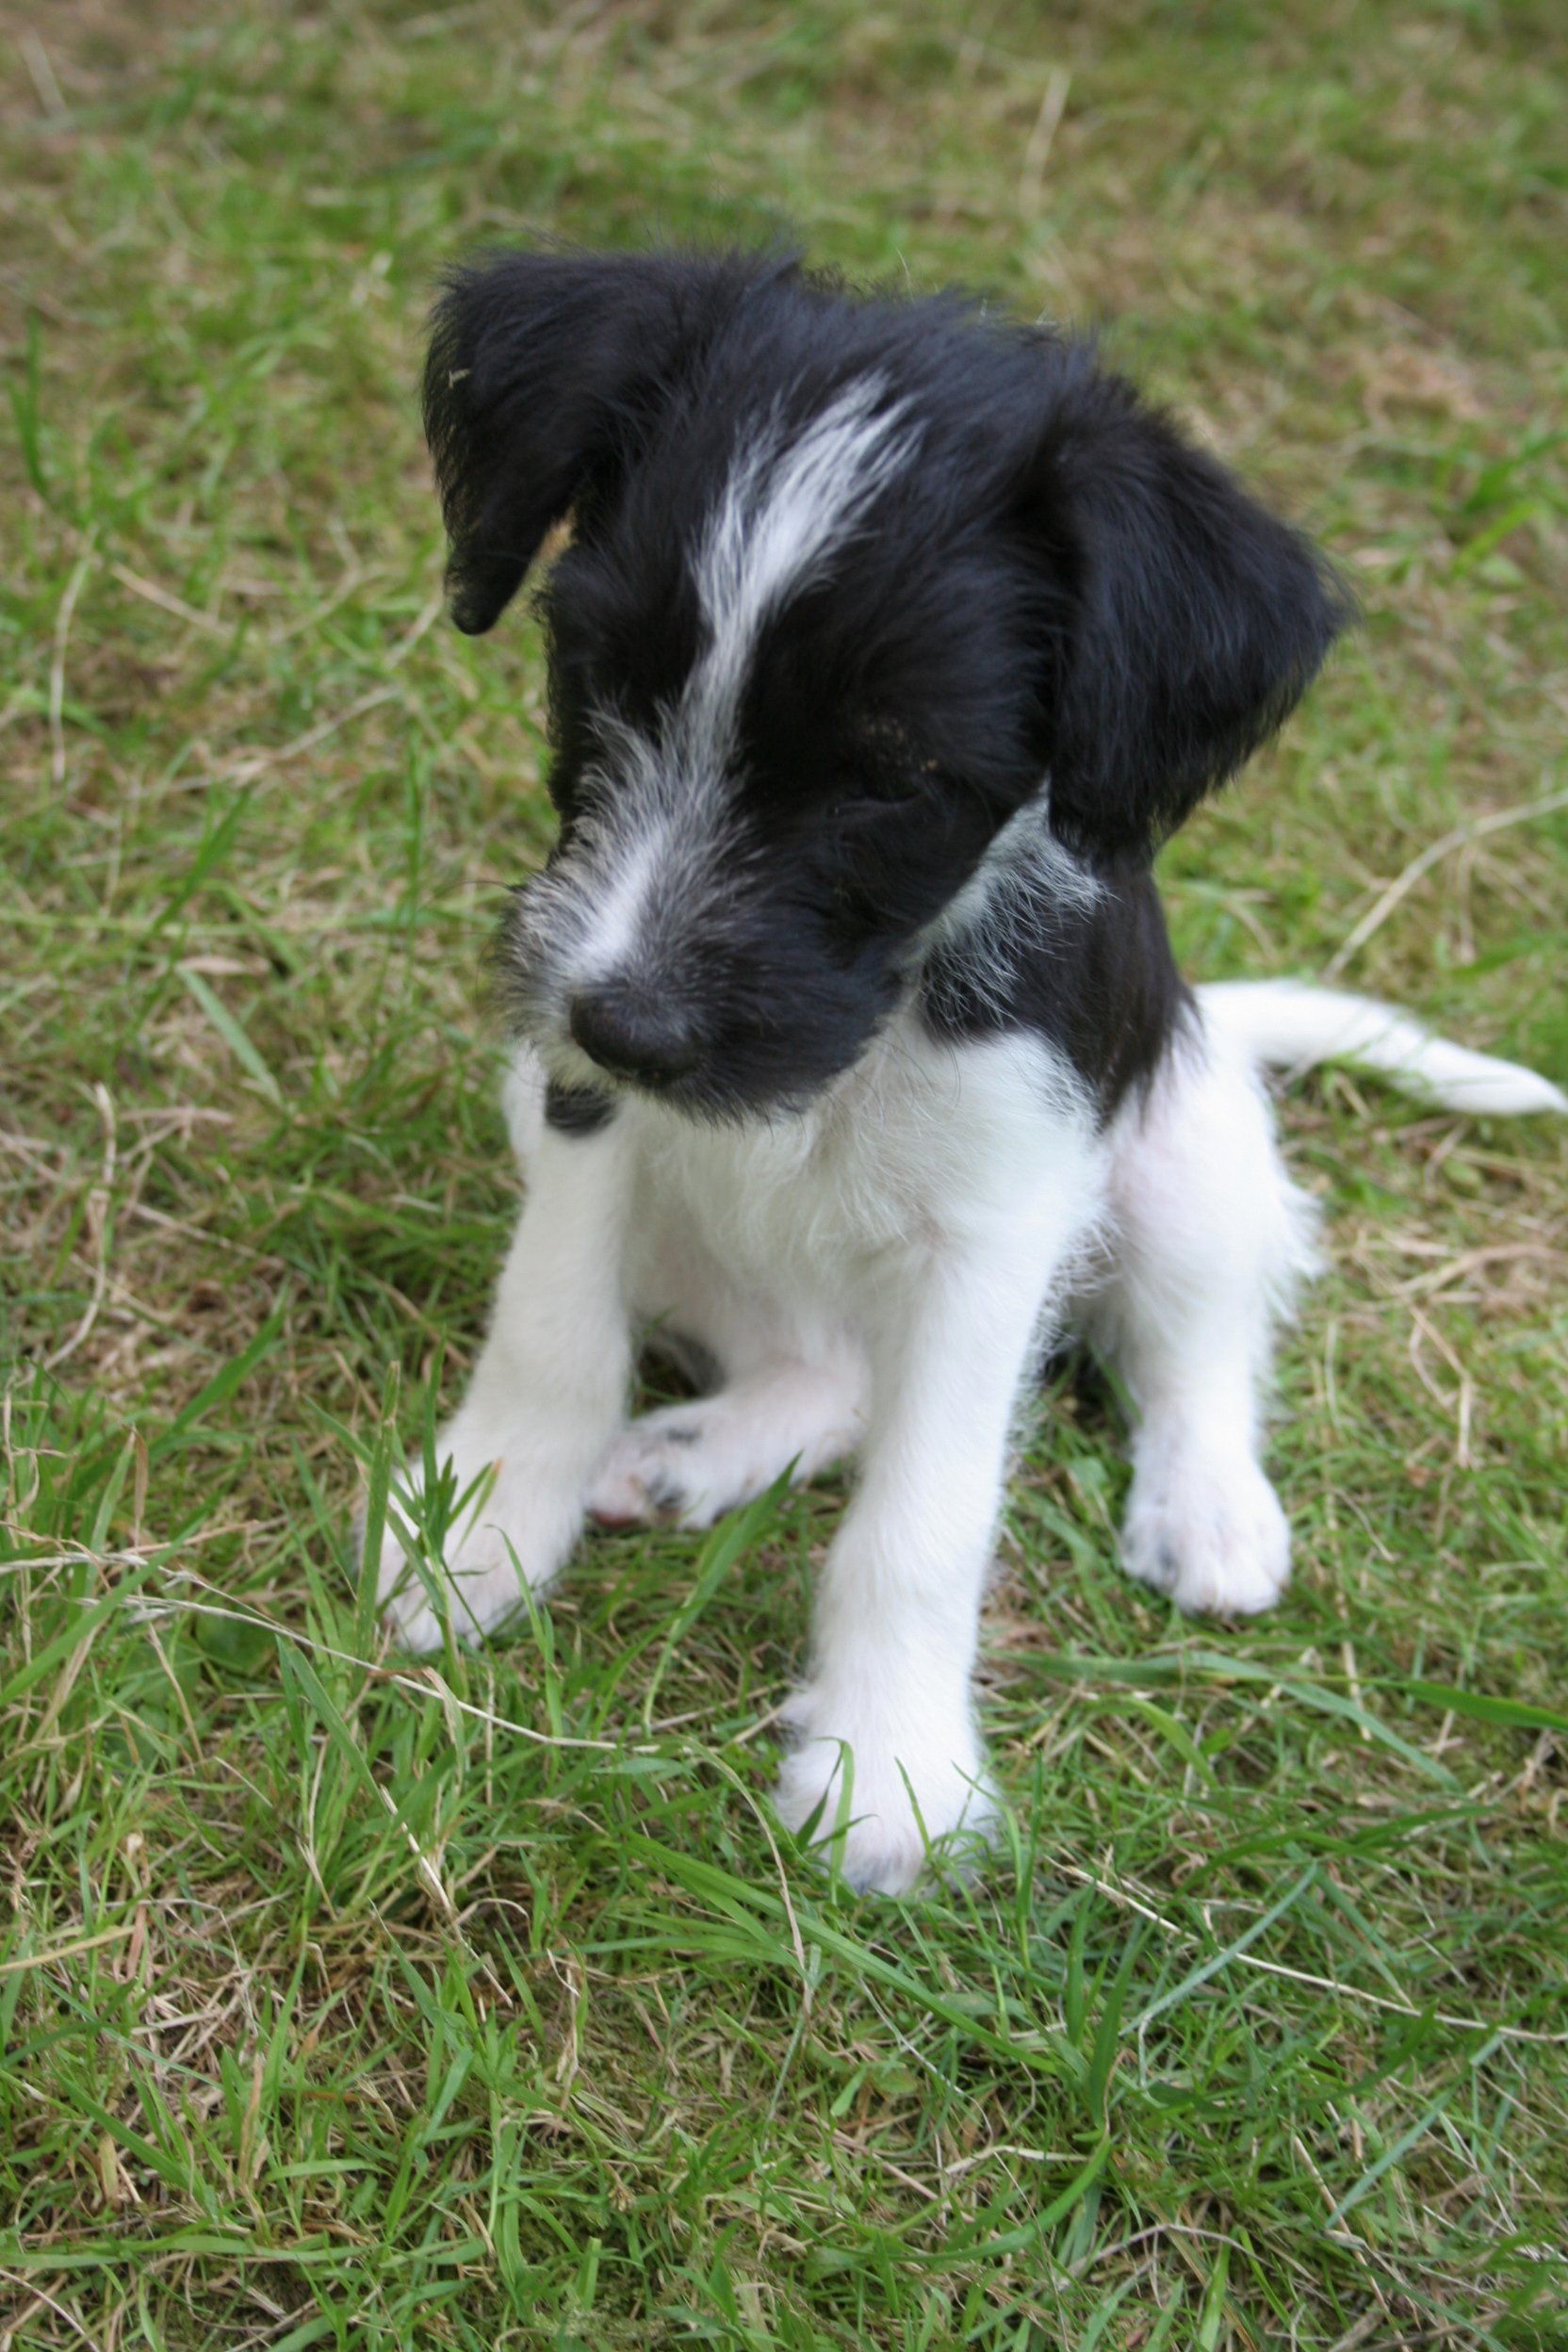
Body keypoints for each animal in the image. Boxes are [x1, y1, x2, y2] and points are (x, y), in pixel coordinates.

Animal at [373, 246, 1565, 1894]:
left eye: (891, 776)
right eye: (596, 671)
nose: (628, 1023)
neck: (874, 1022)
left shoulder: (995, 1234)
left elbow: (923, 1519)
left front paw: (888, 1770)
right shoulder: (581, 1113)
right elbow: (552, 1332)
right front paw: (481, 1531)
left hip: (1185, 1142)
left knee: (1196, 1344)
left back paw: (1208, 1507)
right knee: (826, 1377)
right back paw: (695, 1452)